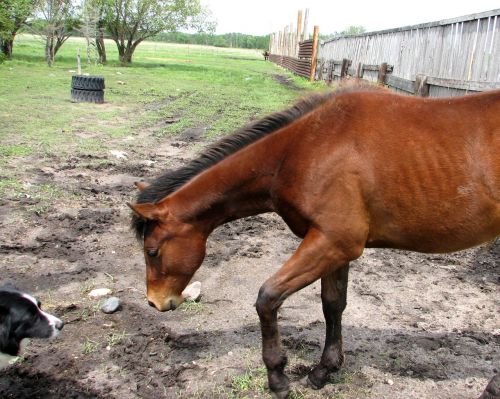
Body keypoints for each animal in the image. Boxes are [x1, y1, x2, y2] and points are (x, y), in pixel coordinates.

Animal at [130, 86, 500, 398]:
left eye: (152, 251)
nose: (155, 302)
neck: (305, 147)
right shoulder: (335, 248)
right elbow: (333, 304)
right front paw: (325, 369)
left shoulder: (333, 242)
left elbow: (268, 298)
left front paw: (278, 377)